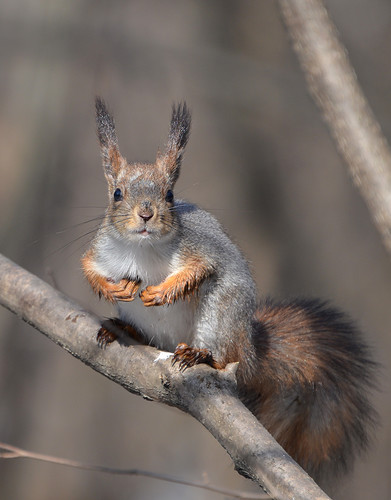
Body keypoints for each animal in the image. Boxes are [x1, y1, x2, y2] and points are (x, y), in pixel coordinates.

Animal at [82, 96, 376, 484]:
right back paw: (122, 328)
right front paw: (111, 288)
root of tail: (250, 349)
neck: (141, 250)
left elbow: (199, 270)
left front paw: (162, 292)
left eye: (169, 195)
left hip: (220, 315)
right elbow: (89, 268)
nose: (146, 214)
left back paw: (199, 355)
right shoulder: (100, 251)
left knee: (223, 358)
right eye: (117, 194)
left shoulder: (201, 251)